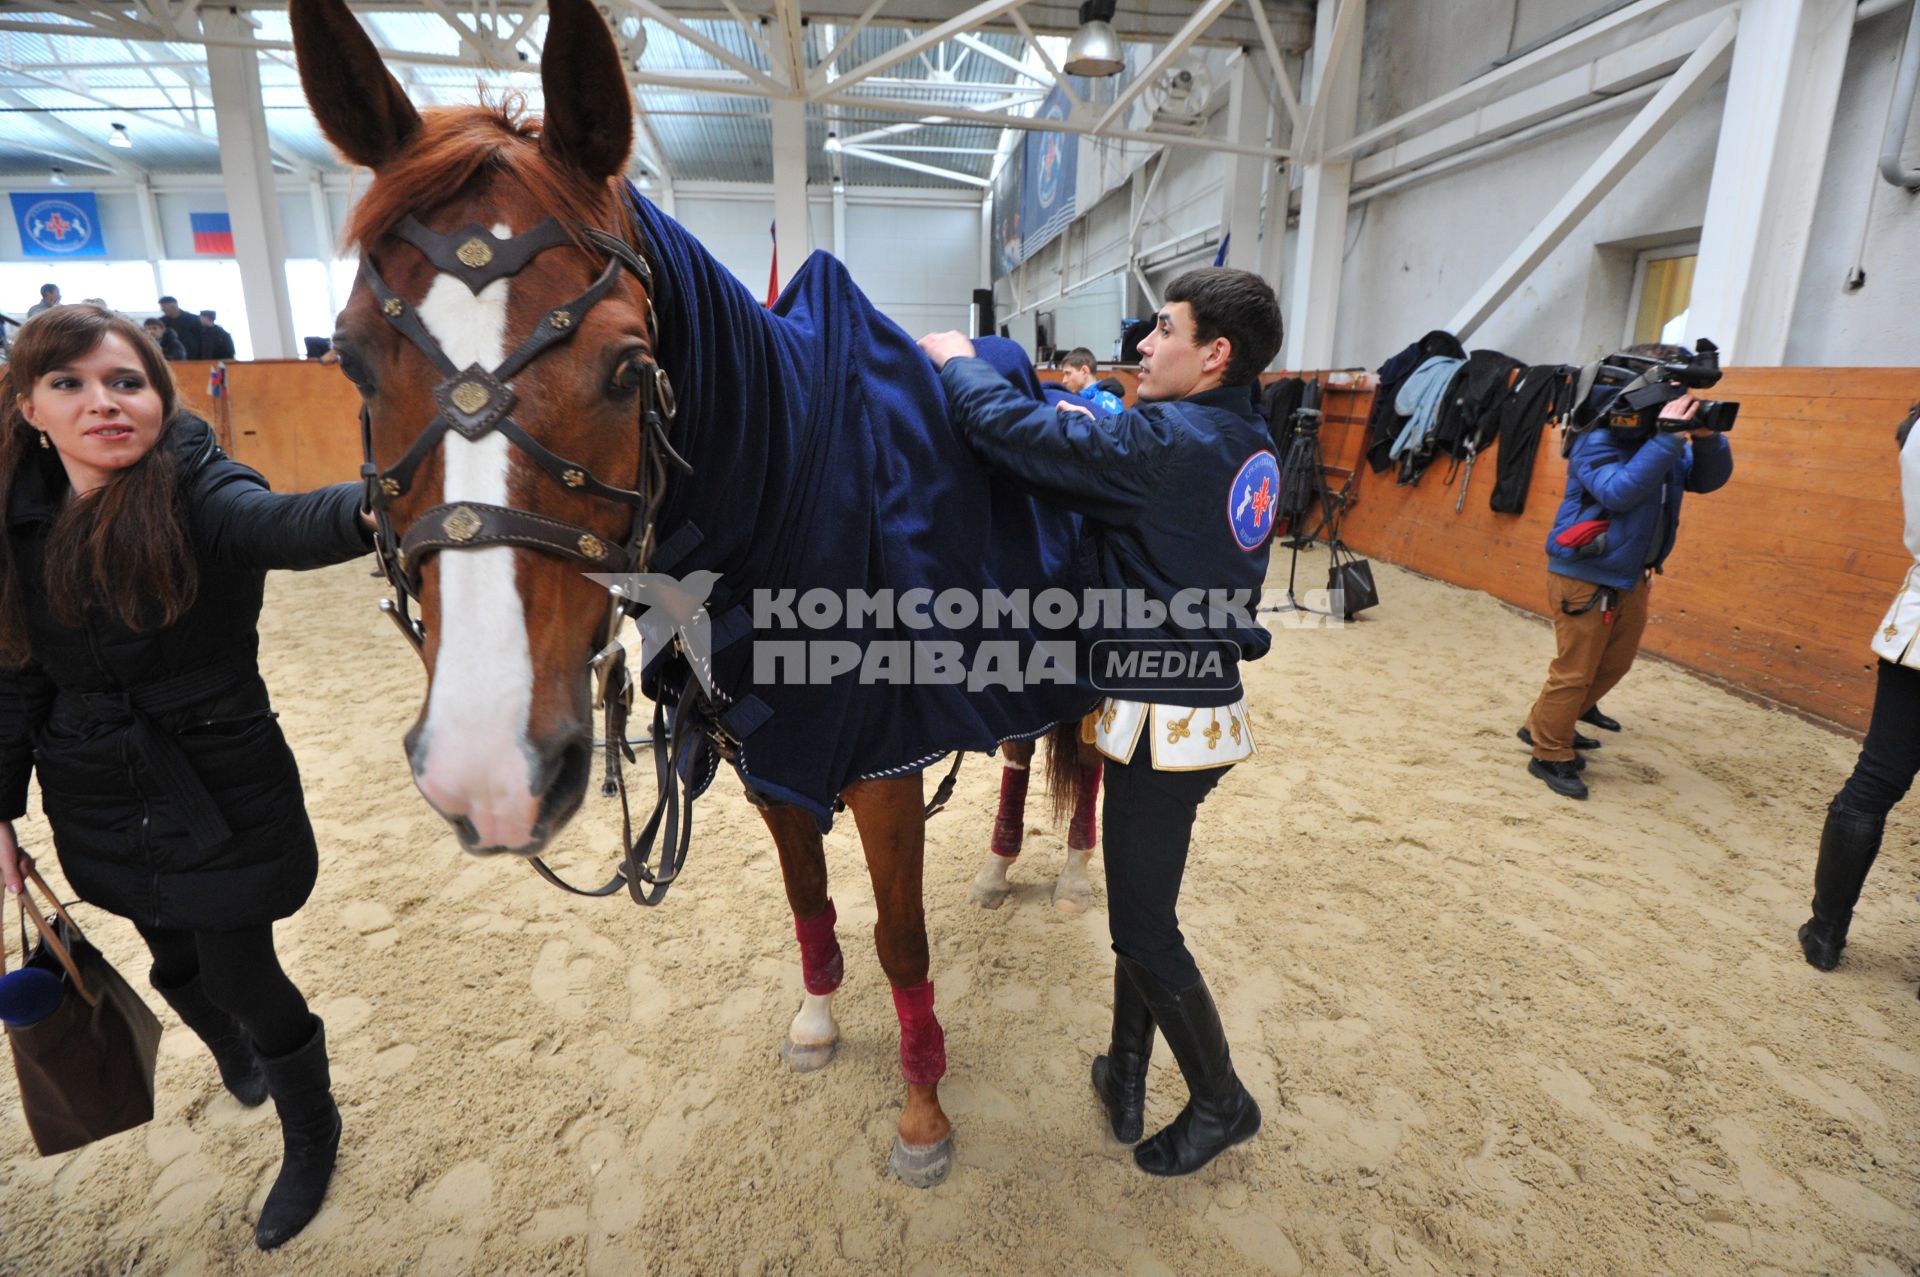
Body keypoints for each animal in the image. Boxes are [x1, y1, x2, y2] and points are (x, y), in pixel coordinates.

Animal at [289, 0, 1090, 1182]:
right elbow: (809, 894)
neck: (795, 496)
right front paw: (817, 1017)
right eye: (348, 360)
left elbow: (903, 939)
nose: (489, 765)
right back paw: (998, 868)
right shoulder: (769, 763)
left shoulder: (885, 768)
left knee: (1087, 757)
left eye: (629, 368)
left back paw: (1074, 873)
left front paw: (921, 1107)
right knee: (1030, 748)